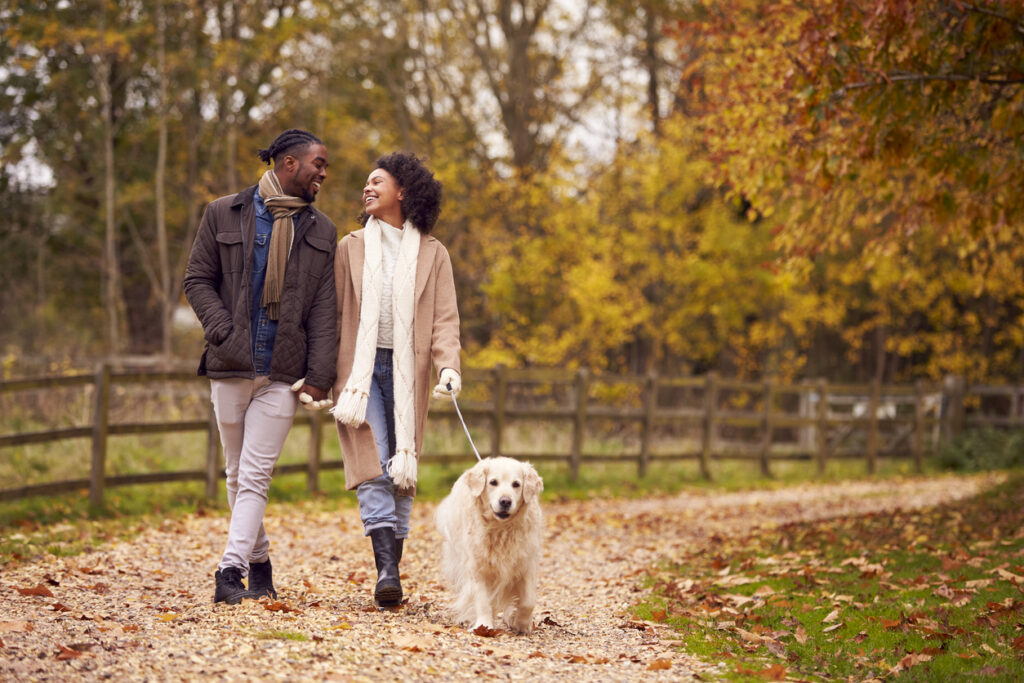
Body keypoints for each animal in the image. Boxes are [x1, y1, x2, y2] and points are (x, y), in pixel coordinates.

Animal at [434, 456, 544, 634]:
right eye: (493, 482)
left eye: (516, 484)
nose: (505, 501)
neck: (501, 528)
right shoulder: (478, 568)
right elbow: (483, 600)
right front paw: (484, 626)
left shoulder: (526, 564)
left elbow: (528, 601)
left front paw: (520, 623)